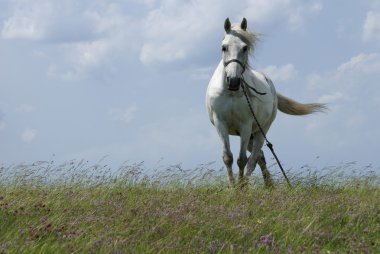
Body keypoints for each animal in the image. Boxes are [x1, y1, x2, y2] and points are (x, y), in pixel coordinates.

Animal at [206, 17, 326, 187]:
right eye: (224, 47)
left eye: (245, 48)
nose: (233, 81)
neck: (231, 92)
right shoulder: (220, 123)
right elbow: (228, 157)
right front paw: (232, 187)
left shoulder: (245, 126)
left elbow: (242, 160)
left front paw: (241, 188)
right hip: (251, 135)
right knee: (260, 156)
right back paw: (268, 184)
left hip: (259, 131)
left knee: (254, 158)